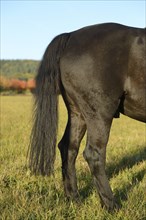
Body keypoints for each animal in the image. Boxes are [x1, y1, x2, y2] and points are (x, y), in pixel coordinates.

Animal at [28, 23, 145, 211]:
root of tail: (70, 36)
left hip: (78, 114)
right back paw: (111, 205)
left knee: (68, 148)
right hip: (99, 114)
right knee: (94, 154)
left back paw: (74, 199)